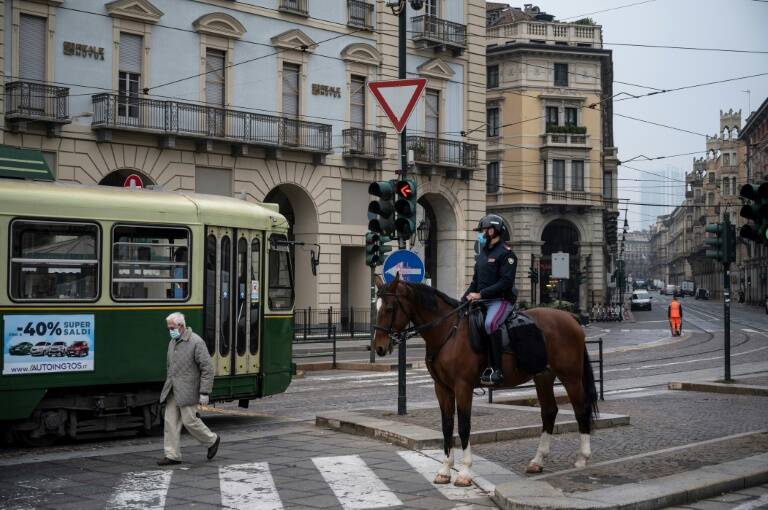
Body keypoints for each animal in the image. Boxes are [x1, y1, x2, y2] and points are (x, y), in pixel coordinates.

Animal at [372, 274, 600, 486]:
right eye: (376, 306)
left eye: (390, 308)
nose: (378, 347)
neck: (448, 331)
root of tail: (571, 317)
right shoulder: (442, 388)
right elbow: (447, 425)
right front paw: (445, 470)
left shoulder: (462, 387)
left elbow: (464, 426)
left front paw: (464, 472)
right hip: (543, 377)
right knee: (549, 412)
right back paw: (537, 461)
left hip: (571, 376)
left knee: (581, 409)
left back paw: (582, 458)